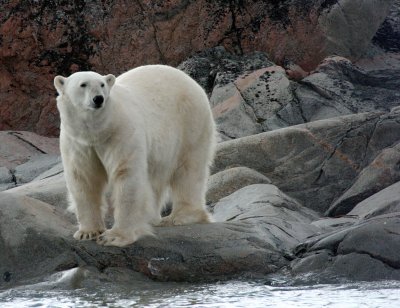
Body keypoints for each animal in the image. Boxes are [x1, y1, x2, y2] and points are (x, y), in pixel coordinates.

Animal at [54, 64, 216, 245]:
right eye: (83, 84)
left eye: (102, 84)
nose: (98, 99)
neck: (98, 132)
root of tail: (190, 80)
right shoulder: (78, 142)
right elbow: (84, 178)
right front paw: (87, 232)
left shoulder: (121, 132)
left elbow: (127, 175)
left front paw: (114, 236)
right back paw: (153, 218)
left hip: (190, 122)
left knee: (188, 169)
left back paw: (181, 216)